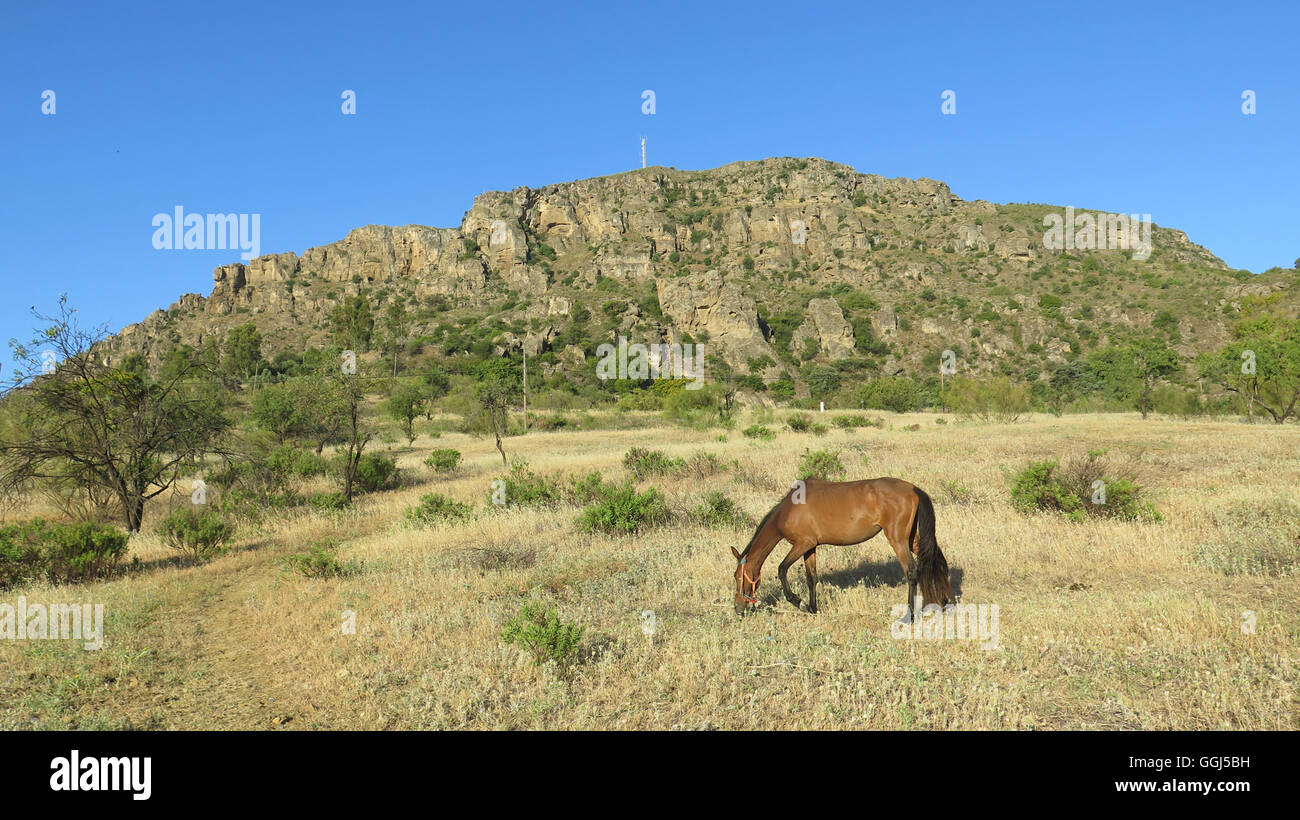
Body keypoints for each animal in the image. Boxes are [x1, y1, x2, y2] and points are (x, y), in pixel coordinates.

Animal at [733, 478, 956, 618]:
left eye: (737, 577)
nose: (737, 608)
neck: (789, 509)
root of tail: (913, 488)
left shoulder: (801, 544)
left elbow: (782, 569)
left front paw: (799, 602)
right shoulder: (810, 547)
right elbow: (811, 578)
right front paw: (813, 608)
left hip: (898, 540)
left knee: (911, 571)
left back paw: (909, 615)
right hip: (911, 539)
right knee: (936, 559)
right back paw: (944, 602)